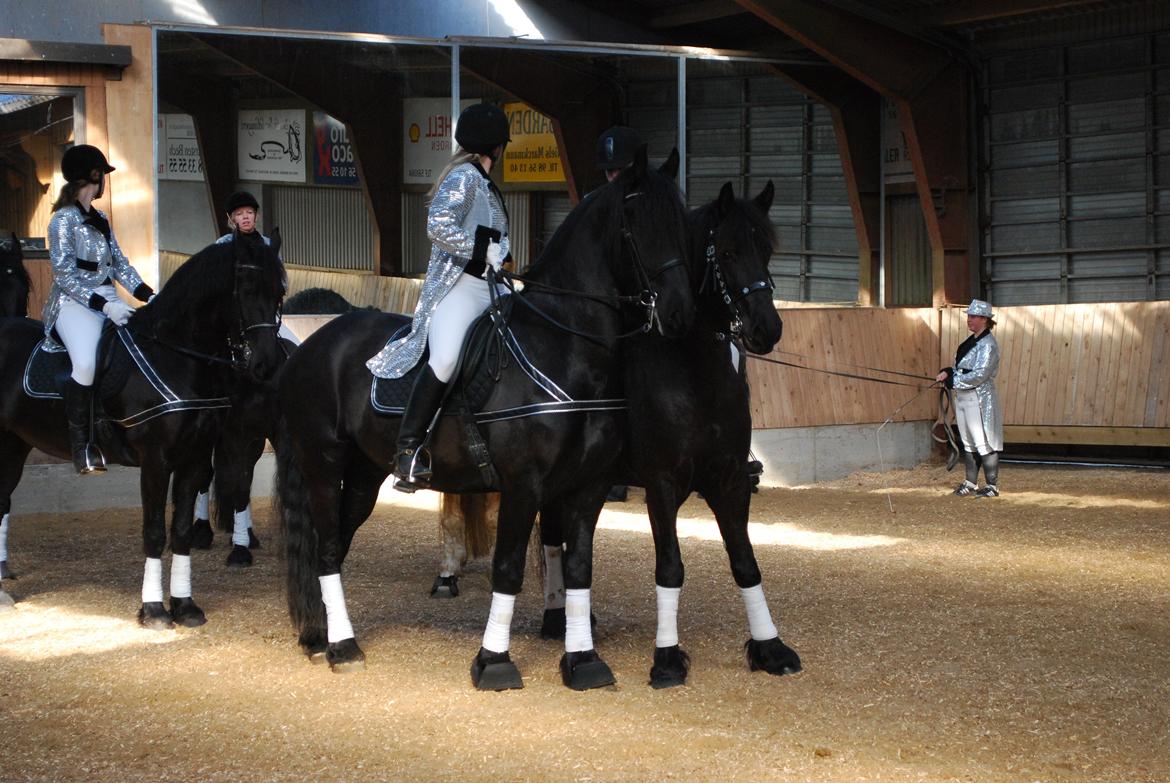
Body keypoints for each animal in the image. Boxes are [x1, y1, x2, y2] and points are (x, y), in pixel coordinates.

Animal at [0, 231, 284, 617]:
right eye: (249, 289)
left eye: (280, 292)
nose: (267, 365)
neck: (175, 356)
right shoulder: (155, 461)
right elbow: (154, 532)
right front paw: (153, 610)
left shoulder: (194, 458)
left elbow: (180, 531)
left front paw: (184, 605)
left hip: (15, 445)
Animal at [277, 146, 687, 683]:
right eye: (638, 221)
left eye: (683, 219)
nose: (679, 313)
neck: (567, 347)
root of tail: (311, 344)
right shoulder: (523, 484)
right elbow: (508, 570)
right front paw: (494, 663)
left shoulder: (588, 486)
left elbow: (579, 570)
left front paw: (583, 661)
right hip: (323, 463)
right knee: (325, 548)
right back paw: (342, 647)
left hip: (364, 471)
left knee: (338, 544)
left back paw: (321, 636)